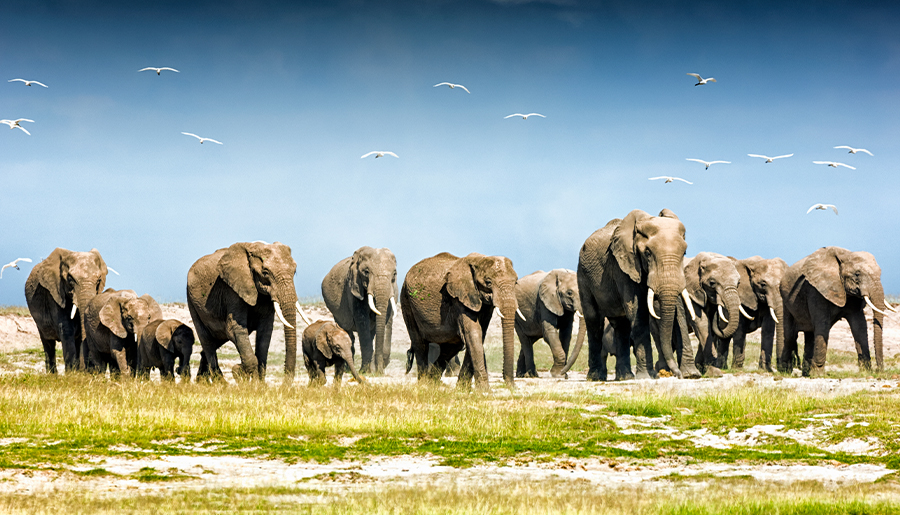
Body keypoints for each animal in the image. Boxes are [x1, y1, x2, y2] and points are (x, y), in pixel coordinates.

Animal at [185, 242, 312, 382]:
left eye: (294, 271)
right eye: (265, 272)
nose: (285, 384)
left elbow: (265, 332)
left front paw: (258, 383)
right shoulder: (231, 290)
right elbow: (235, 329)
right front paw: (248, 379)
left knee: (214, 341)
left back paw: (202, 382)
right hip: (192, 301)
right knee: (208, 342)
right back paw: (221, 383)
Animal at [320, 246, 398, 374]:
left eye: (394, 273)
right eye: (366, 272)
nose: (380, 371)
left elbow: (384, 321)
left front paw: (376, 370)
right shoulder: (354, 288)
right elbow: (362, 321)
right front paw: (365, 372)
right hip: (336, 312)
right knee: (347, 332)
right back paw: (349, 370)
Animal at [402, 252, 520, 390]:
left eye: (516, 282)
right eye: (488, 282)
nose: (512, 386)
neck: (479, 260)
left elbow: (479, 335)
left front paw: (463, 390)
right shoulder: (459, 297)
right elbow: (473, 334)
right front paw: (485, 391)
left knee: (451, 347)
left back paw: (432, 383)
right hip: (406, 300)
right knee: (420, 343)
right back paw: (424, 384)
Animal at [576, 210, 704, 382]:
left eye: (684, 253)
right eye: (648, 253)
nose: (677, 375)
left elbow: (680, 312)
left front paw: (692, 374)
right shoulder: (622, 267)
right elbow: (638, 311)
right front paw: (647, 377)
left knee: (621, 325)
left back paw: (625, 377)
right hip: (583, 275)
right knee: (594, 320)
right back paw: (596, 377)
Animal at [776, 246, 896, 374]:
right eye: (857, 274)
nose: (880, 370)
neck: (845, 255)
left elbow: (859, 326)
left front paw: (865, 372)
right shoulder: (816, 290)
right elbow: (823, 325)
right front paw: (818, 375)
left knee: (810, 335)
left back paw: (806, 373)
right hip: (785, 301)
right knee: (790, 336)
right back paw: (785, 370)